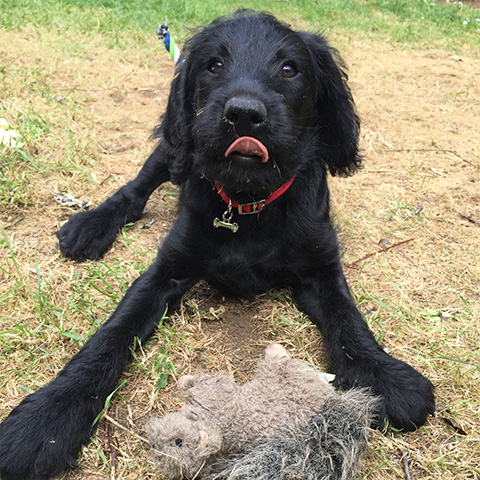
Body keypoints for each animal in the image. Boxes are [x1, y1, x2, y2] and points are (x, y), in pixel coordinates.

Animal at [0, 11, 436, 480]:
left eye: (289, 69)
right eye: (214, 65)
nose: (243, 115)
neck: (247, 203)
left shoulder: (321, 268)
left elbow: (348, 319)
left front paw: (383, 375)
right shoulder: (165, 271)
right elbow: (109, 337)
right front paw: (44, 420)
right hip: (174, 146)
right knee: (137, 189)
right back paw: (92, 225)